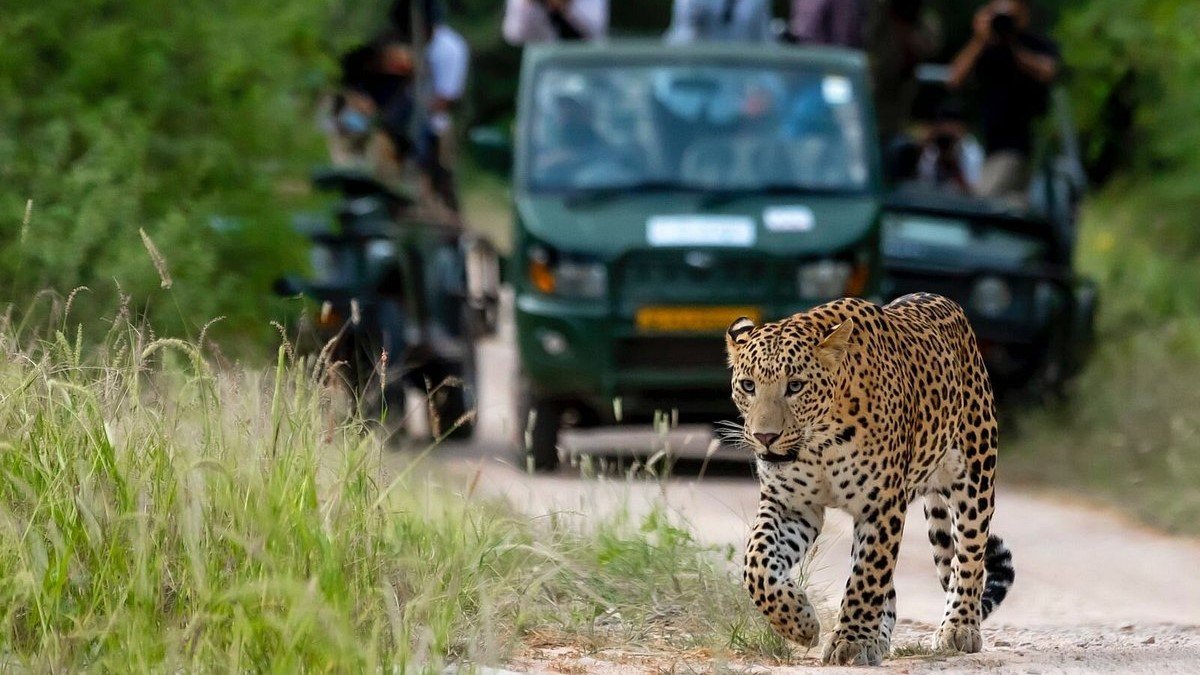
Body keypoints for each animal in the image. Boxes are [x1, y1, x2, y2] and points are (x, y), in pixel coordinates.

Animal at [725, 293, 1015, 666]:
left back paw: (959, 627)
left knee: (969, 556)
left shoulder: (881, 506)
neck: (820, 443)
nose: (765, 437)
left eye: (795, 386)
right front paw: (799, 622)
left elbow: (866, 577)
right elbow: (757, 564)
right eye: (748, 386)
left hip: (974, 476)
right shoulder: (791, 505)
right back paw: (878, 639)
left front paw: (849, 642)